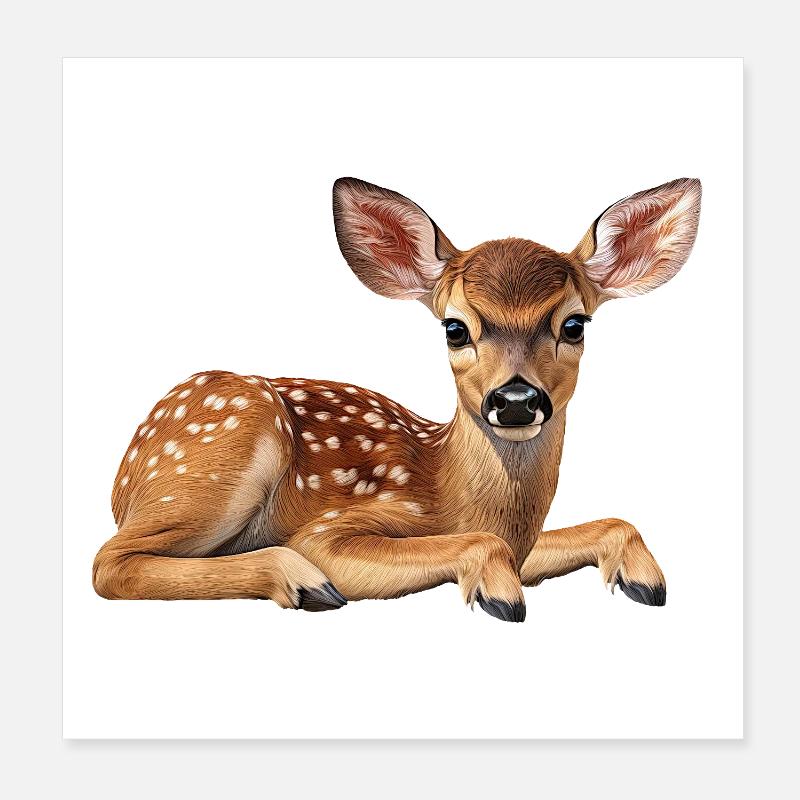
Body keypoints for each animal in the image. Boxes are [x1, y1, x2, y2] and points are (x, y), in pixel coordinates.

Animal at [93, 176, 701, 622]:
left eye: (575, 324)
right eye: (454, 328)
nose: (516, 400)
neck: (454, 489)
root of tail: (124, 476)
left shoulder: (524, 545)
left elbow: (613, 522)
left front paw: (645, 579)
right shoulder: (334, 526)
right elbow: (476, 546)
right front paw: (500, 593)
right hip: (223, 453)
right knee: (109, 562)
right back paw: (304, 583)